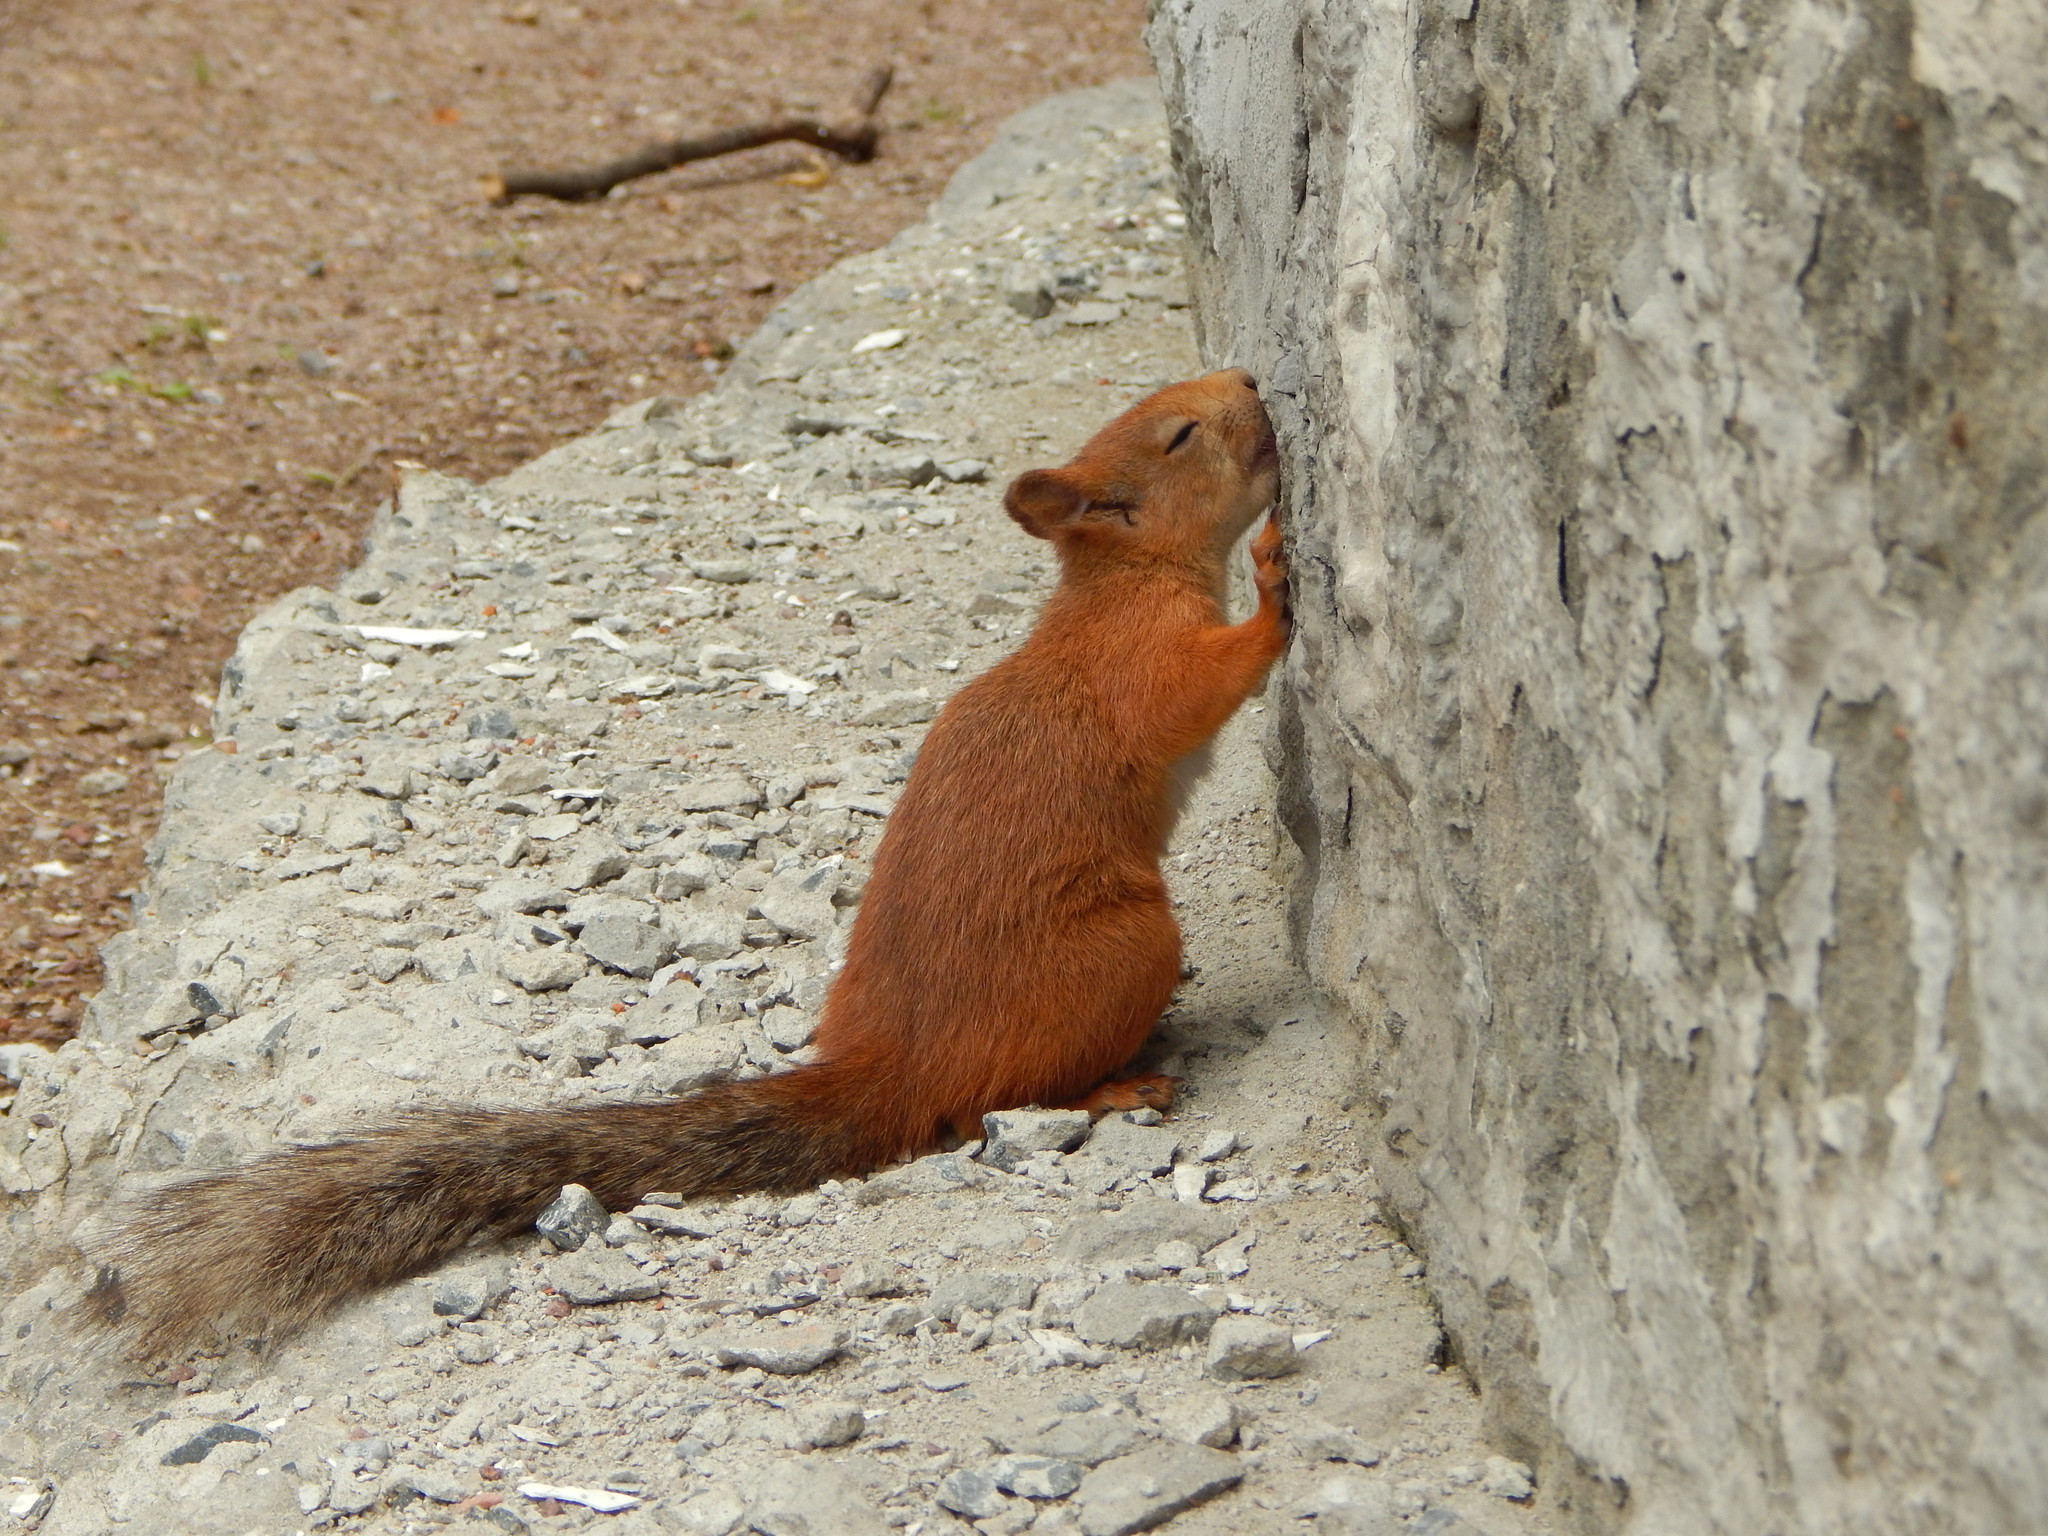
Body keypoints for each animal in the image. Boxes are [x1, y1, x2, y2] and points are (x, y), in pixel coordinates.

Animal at [88, 372, 1286, 1359]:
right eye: (1179, 433)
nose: (1248, 379)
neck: (1118, 588)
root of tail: (893, 1068)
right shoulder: (1142, 670)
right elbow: (1210, 681)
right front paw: (1277, 586)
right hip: (1130, 945)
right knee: (992, 1105)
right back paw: (1117, 1083)